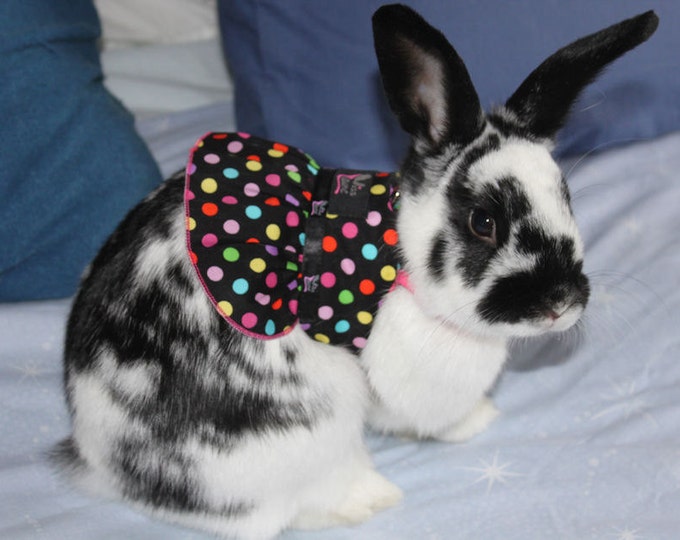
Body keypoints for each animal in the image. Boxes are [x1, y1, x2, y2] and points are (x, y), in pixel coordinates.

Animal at [54, 4, 658, 539]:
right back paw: (370, 497)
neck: (404, 260)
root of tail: (100, 457)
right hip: (312, 425)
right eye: (483, 222)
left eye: (567, 199)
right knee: (290, 507)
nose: (561, 302)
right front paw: (479, 419)